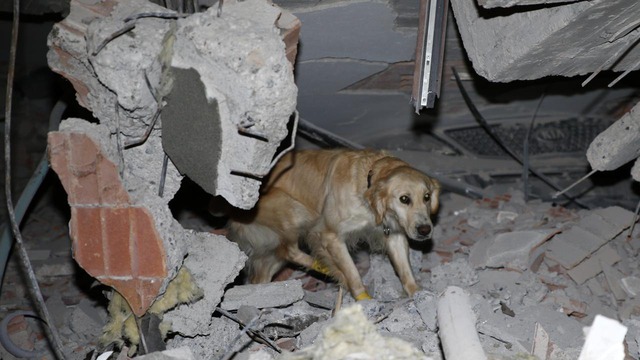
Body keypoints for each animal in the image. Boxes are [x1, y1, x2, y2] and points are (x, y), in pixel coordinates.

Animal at [225, 148, 440, 300]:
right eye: (404, 199)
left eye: (427, 197)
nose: (425, 230)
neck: (366, 183)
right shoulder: (330, 235)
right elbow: (352, 272)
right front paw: (363, 298)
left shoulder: (395, 235)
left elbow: (405, 270)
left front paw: (417, 292)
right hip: (295, 210)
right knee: (291, 250)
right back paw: (328, 269)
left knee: (269, 266)